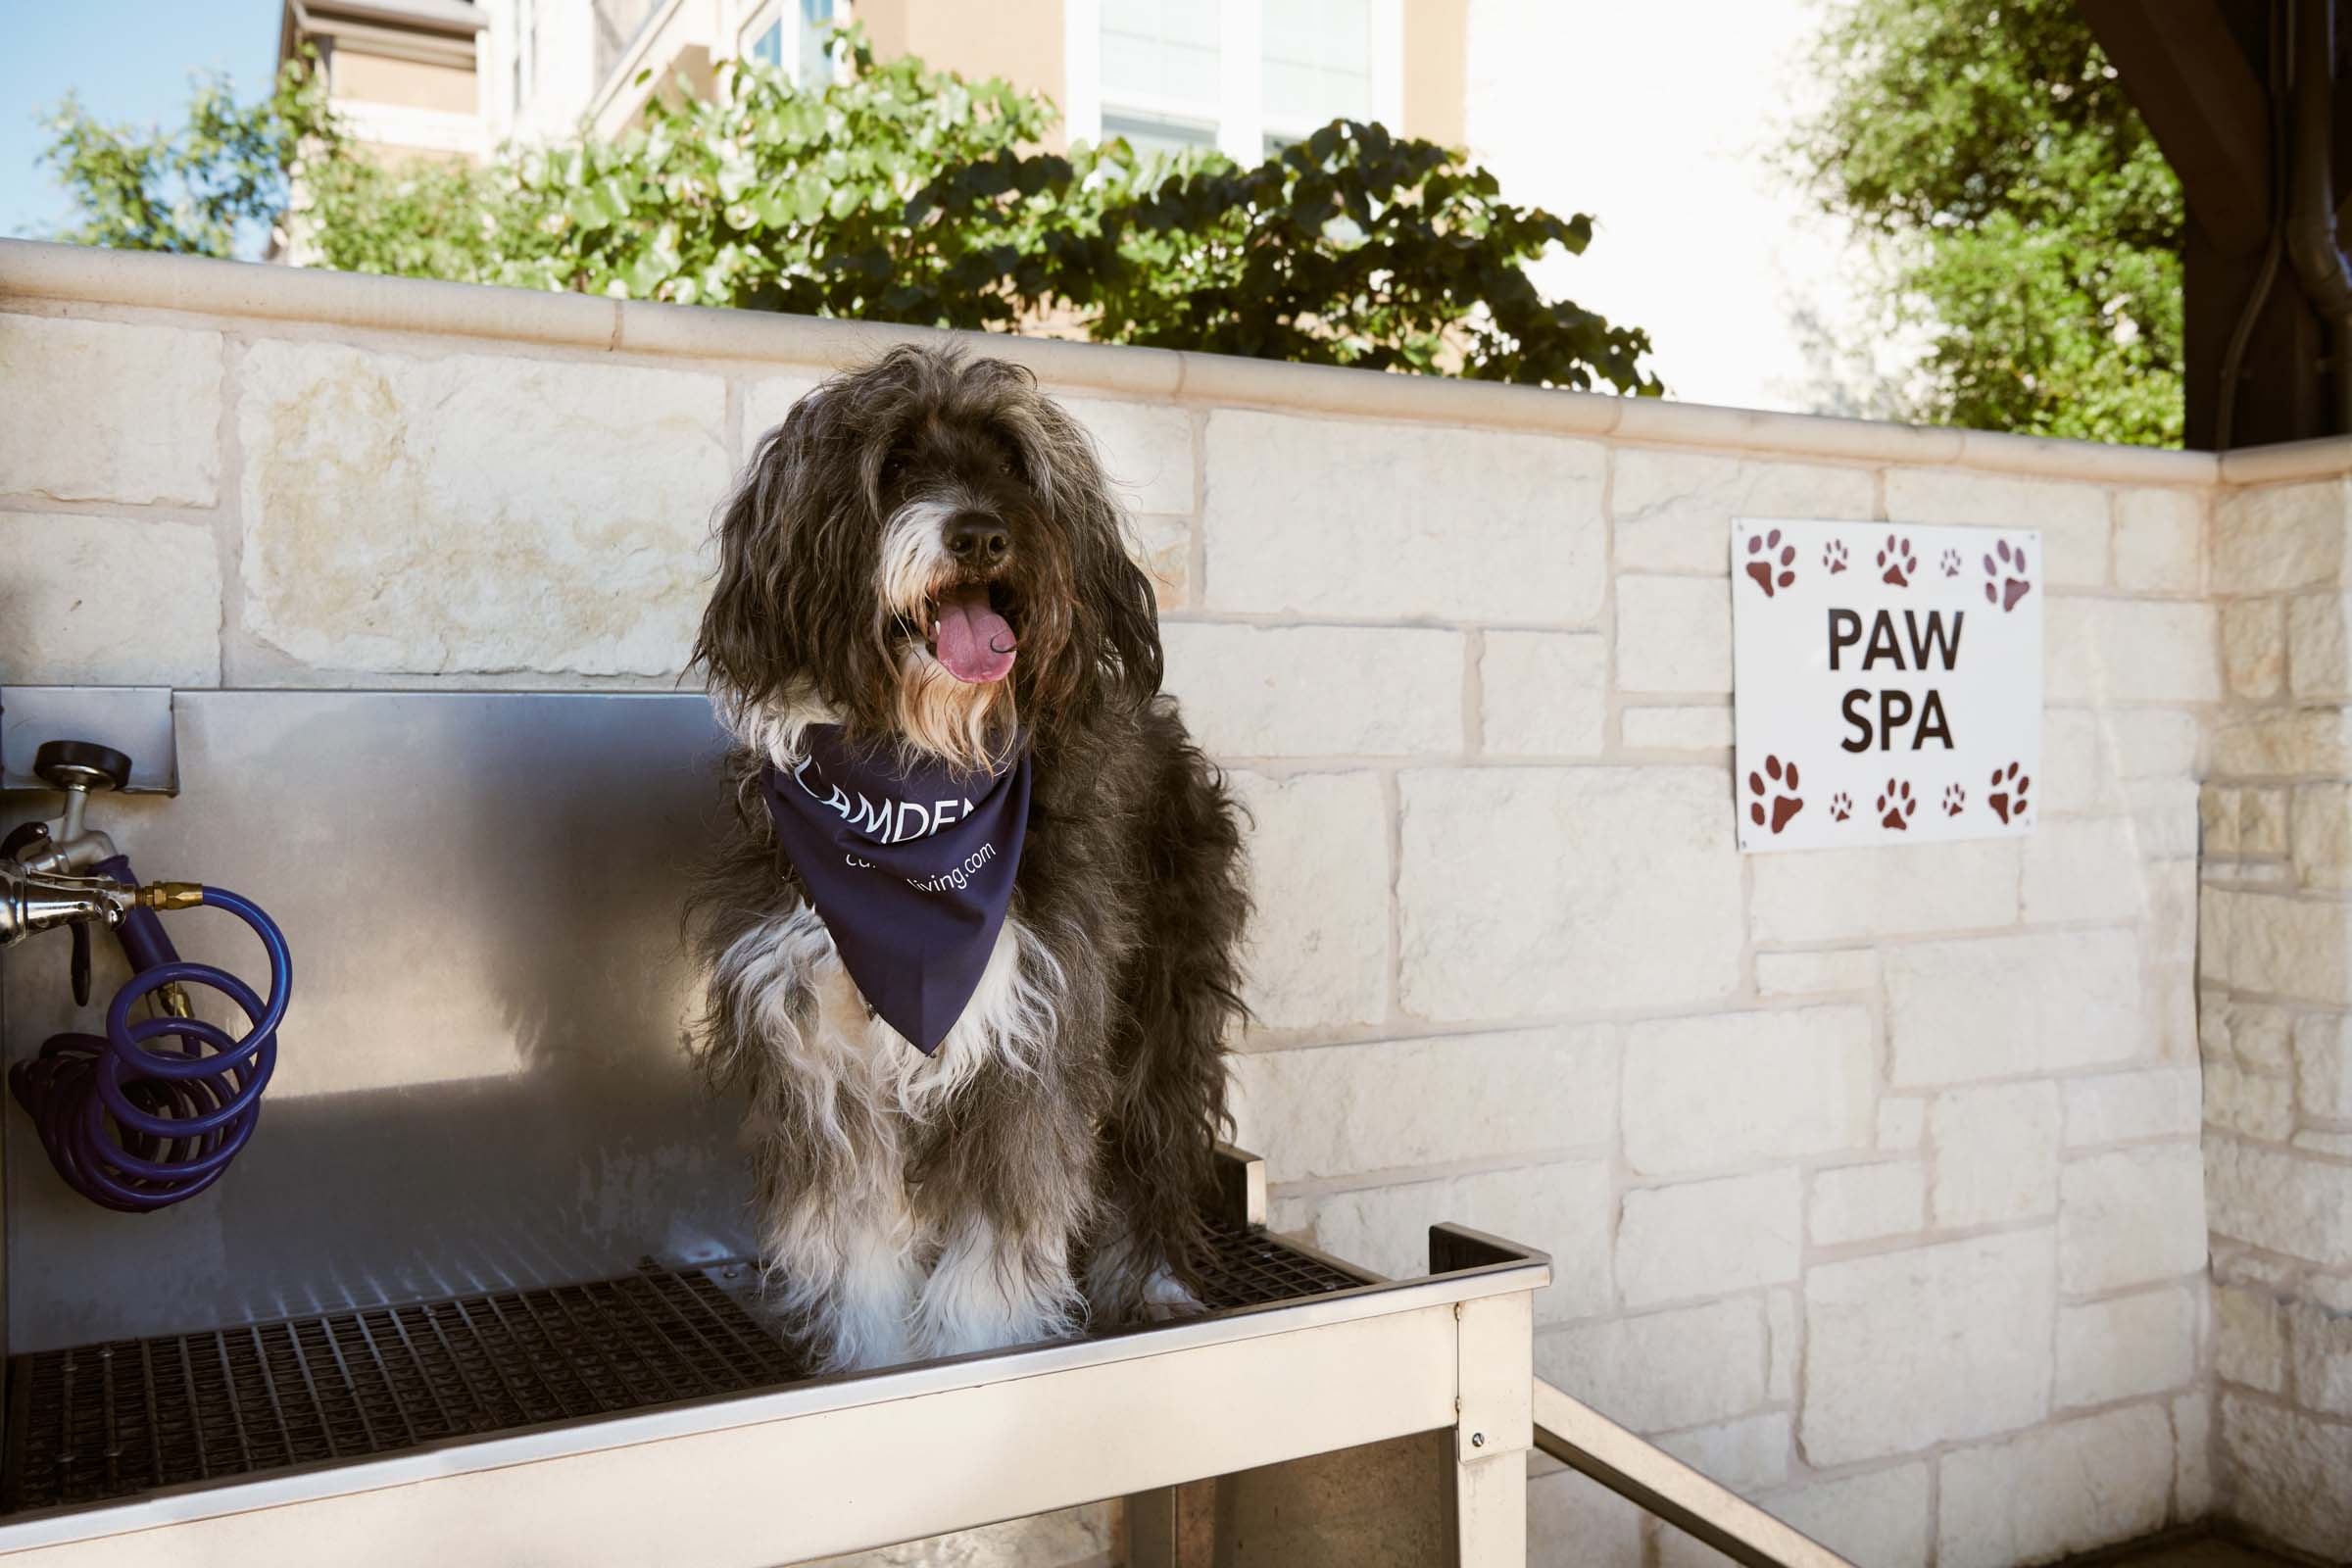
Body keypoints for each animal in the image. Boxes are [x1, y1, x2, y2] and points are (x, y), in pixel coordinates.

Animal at [686, 343, 1250, 1372]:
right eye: (899, 463)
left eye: (1013, 467)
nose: (984, 536)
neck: (917, 780)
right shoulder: (826, 1063)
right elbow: (860, 1246)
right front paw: (877, 1365)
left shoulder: (1030, 1039)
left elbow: (996, 1248)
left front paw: (976, 1353)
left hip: (1164, 999)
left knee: (1155, 1140)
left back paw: (1152, 1281)